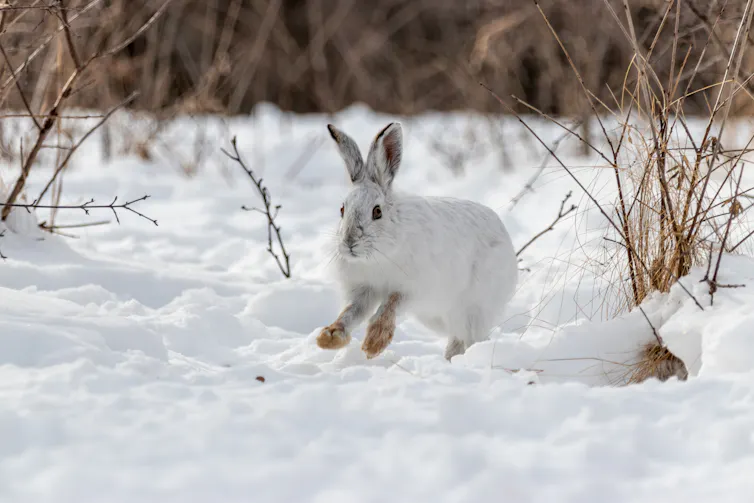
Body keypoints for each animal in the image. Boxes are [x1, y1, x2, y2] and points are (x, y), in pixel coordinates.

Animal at [317, 121, 518, 360]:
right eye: (342, 209)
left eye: (377, 212)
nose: (349, 242)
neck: (378, 254)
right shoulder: (363, 291)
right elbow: (351, 313)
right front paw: (329, 337)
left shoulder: (413, 288)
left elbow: (390, 306)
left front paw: (374, 343)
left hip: (473, 308)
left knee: (469, 337)